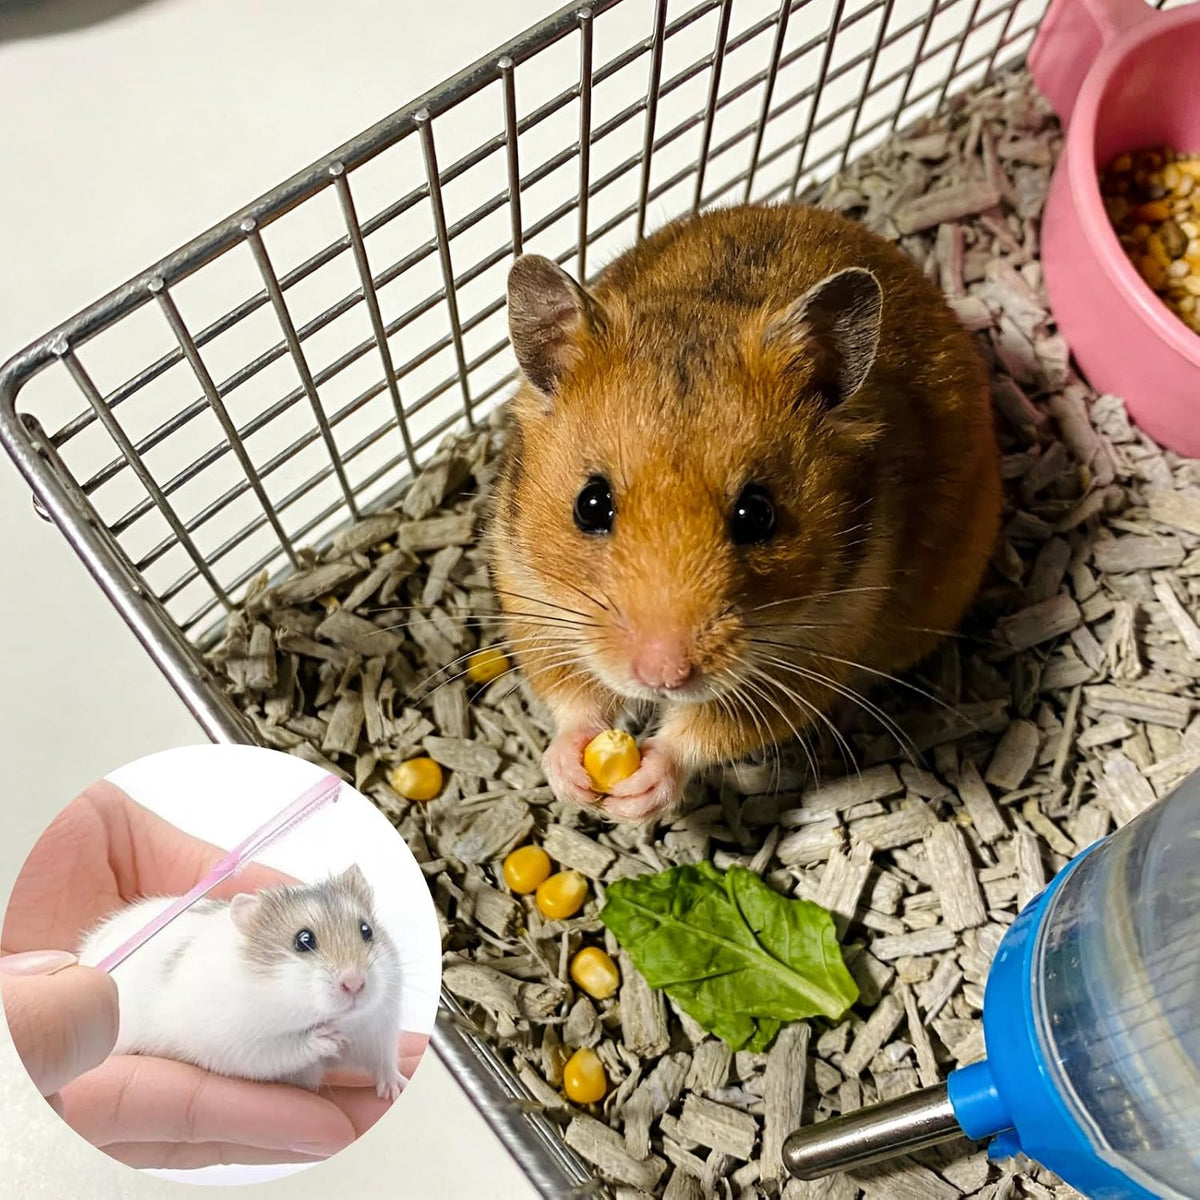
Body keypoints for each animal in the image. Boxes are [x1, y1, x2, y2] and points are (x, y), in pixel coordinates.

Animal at [77, 864, 405, 1099]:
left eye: (367, 930)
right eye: (303, 940)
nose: (355, 984)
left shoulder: (379, 1029)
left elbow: (384, 1061)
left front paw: (395, 1090)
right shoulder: (239, 1042)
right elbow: (288, 1048)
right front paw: (329, 1039)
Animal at [492, 203, 1001, 822]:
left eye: (758, 514)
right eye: (590, 505)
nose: (662, 677)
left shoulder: (808, 656)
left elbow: (708, 732)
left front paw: (638, 795)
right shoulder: (529, 595)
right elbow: (570, 696)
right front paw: (574, 777)